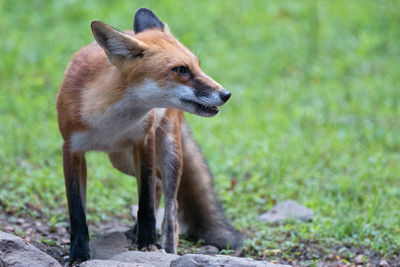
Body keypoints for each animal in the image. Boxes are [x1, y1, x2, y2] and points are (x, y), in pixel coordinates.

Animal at [56, 7, 244, 264]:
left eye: (197, 66)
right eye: (181, 70)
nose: (226, 94)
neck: (109, 122)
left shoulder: (144, 140)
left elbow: (145, 200)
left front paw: (147, 244)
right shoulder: (71, 149)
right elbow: (77, 211)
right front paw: (78, 254)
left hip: (169, 153)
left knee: (170, 207)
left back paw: (166, 247)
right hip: (120, 159)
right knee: (157, 184)